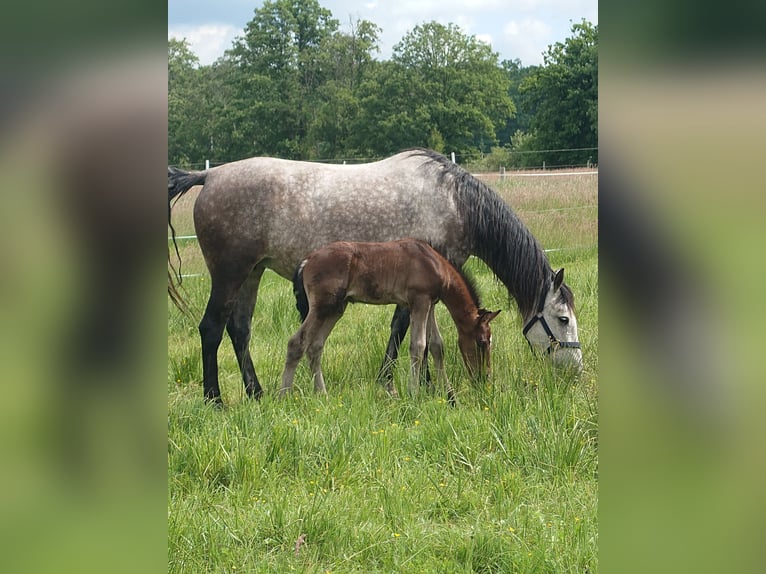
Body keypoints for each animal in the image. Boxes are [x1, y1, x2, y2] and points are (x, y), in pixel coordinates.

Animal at [280, 239, 501, 403]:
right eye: (482, 342)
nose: (485, 378)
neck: (435, 263)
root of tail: (307, 260)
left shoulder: (430, 304)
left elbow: (437, 346)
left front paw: (451, 397)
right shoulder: (419, 301)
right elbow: (418, 346)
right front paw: (414, 394)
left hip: (335, 309)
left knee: (315, 346)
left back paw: (322, 394)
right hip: (322, 307)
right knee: (296, 343)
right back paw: (284, 395)